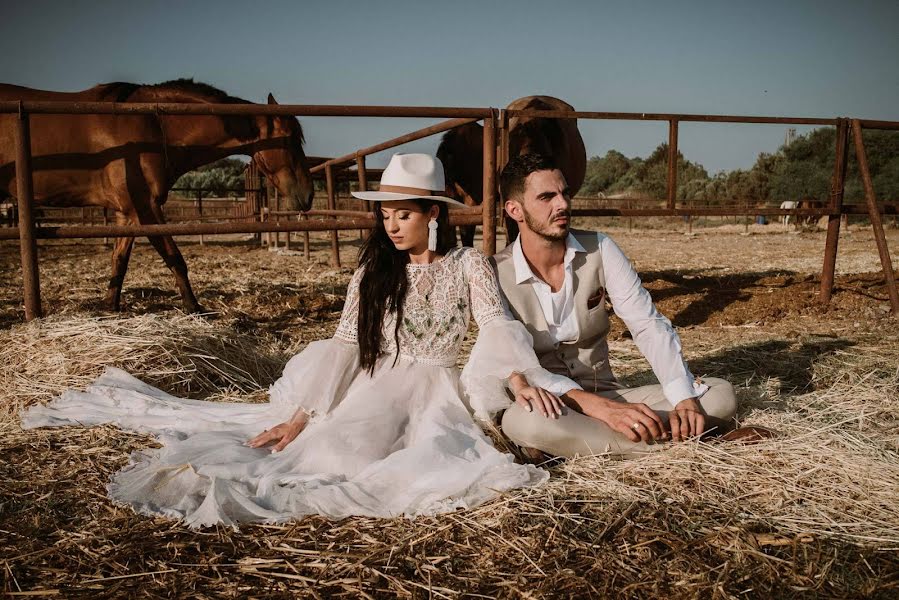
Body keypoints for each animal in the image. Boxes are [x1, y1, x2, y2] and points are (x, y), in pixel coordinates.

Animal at [0, 78, 316, 314]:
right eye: (289, 140)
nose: (308, 196)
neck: (151, 125)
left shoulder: (127, 213)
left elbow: (119, 260)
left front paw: (110, 307)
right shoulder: (146, 209)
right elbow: (175, 257)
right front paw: (194, 307)